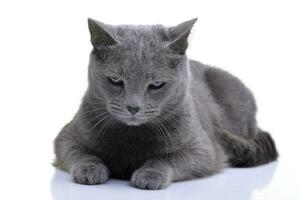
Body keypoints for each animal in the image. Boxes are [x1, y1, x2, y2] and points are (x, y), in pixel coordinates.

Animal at [52, 18, 278, 190]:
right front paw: (90, 170)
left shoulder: (203, 150)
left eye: (156, 84)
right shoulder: (66, 137)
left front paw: (149, 174)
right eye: (115, 80)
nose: (133, 107)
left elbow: (167, 158)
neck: (132, 138)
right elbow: (79, 152)